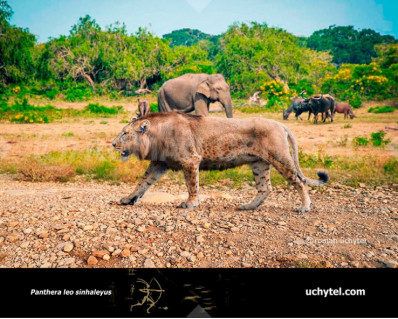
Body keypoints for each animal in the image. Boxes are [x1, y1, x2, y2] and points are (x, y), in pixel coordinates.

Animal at [112, 102, 330, 212]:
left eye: (124, 133)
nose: (113, 143)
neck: (156, 135)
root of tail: (281, 124)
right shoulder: (159, 163)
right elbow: (143, 182)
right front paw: (129, 199)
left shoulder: (190, 160)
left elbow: (192, 184)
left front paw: (190, 204)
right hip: (259, 164)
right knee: (265, 188)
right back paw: (248, 206)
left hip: (280, 157)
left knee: (300, 182)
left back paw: (304, 207)